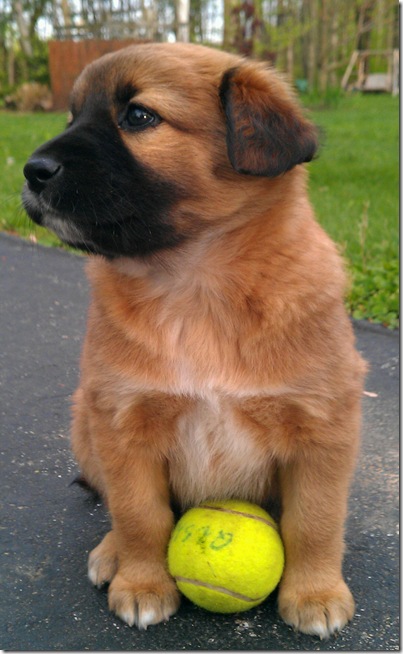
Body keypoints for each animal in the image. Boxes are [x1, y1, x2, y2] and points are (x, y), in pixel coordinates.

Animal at [23, 43, 368, 640]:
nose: (30, 170)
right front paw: (142, 584)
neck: (195, 286)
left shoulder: (323, 427)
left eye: (139, 115)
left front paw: (315, 594)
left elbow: (316, 520)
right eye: (71, 117)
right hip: (84, 422)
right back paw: (111, 553)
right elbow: (139, 515)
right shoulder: (122, 423)